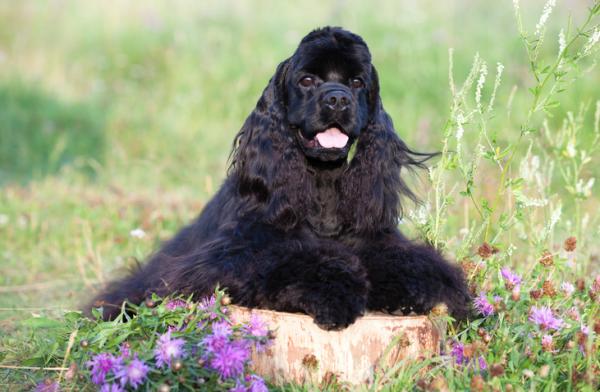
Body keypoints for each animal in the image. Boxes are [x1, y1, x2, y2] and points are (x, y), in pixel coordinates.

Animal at [91, 26, 472, 330]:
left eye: (357, 82)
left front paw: (417, 289)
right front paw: (337, 294)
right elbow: (291, 260)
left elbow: (408, 260)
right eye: (307, 80)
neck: (323, 186)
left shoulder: (375, 239)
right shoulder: (228, 257)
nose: (337, 99)